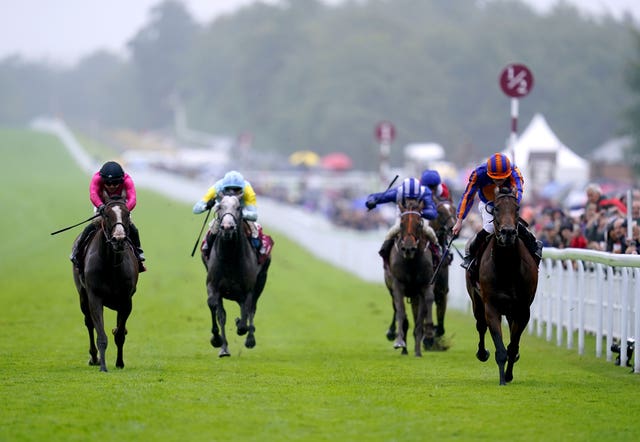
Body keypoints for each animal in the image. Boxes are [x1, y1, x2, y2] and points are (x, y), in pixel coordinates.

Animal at [72, 197, 138, 372]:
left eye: (127, 214)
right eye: (107, 215)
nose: (119, 239)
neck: (111, 264)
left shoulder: (126, 300)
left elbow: (120, 334)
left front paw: (120, 363)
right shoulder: (95, 297)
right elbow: (101, 335)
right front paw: (103, 366)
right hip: (82, 295)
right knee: (89, 323)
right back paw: (94, 358)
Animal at [205, 195, 270, 358]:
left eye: (239, 207)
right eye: (219, 206)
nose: (227, 227)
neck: (230, 257)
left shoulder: (248, 289)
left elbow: (245, 318)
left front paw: (241, 326)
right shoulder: (213, 286)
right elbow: (216, 309)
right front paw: (217, 340)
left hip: (261, 281)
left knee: (252, 308)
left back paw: (250, 338)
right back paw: (224, 348)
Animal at [382, 199, 438, 358]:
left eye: (419, 223)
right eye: (401, 223)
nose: (408, 248)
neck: (411, 262)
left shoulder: (426, 283)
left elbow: (427, 303)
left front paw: (429, 336)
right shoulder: (398, 284)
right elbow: (400, 311)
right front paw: (399, 341)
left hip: (415, 294)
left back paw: (417, 349)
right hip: (391, 288)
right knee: (398, 310)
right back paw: (402, 346)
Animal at [468, 186, 536, 384]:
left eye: (517, 208)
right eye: (496, 208)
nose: (508, 233)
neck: (507, 267)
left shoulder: (523, 309)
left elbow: (512, 347)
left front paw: (508, 374)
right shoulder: (492, 306)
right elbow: (500, 349)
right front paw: (502, 380)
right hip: (476, 301)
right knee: (480, 325)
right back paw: (482, 353)